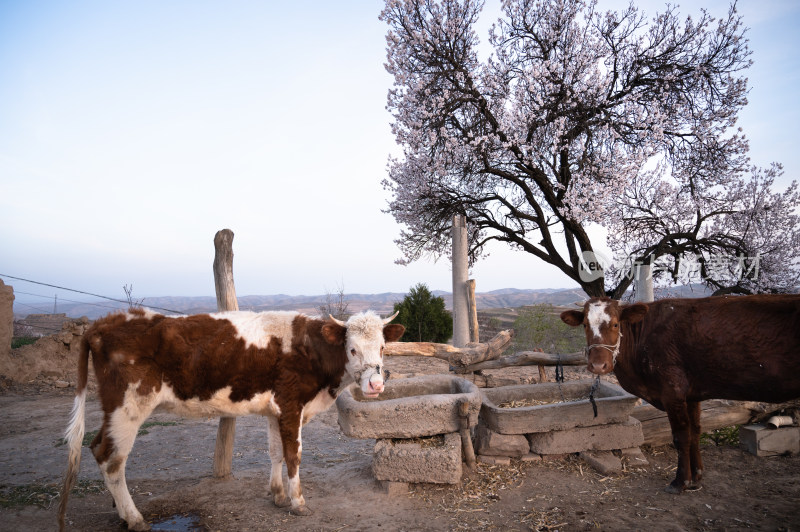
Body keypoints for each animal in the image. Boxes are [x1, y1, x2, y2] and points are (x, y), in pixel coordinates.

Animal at [57, 308, 404, 528]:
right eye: (352, 349)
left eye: (383, 347)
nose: (376, 385)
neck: (311, 351)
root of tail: (103, 324)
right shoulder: (292, 405)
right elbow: (294, 455)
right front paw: (298, 502)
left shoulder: (275, 410)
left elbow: (275, 452)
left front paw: (278, 496)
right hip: (128, 406)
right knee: (111, 458)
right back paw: (134, 518)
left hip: (115, 410)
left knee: (97, 446)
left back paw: (119, 511)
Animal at [564, 294, 800, 492]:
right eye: (585, 325)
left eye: (614, 324)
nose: (598, 365)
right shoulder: (693, 395)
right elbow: (695, 432)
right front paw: (697, 476)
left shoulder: (673, 393)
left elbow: (681, 436)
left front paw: (681, 481)